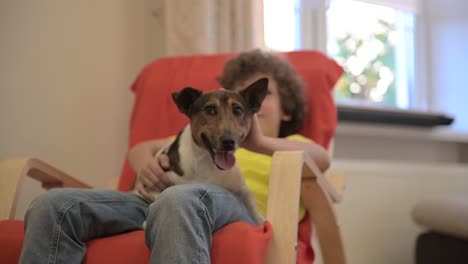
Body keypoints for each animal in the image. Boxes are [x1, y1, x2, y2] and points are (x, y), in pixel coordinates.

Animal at [136, 77, 266, 226]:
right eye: (210, 109)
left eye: (238, 110)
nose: (228, 142)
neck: (207, 163)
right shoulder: (155, 183)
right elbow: (157, 194)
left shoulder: (240, 187)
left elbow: (250, 201)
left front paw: (262, 220)